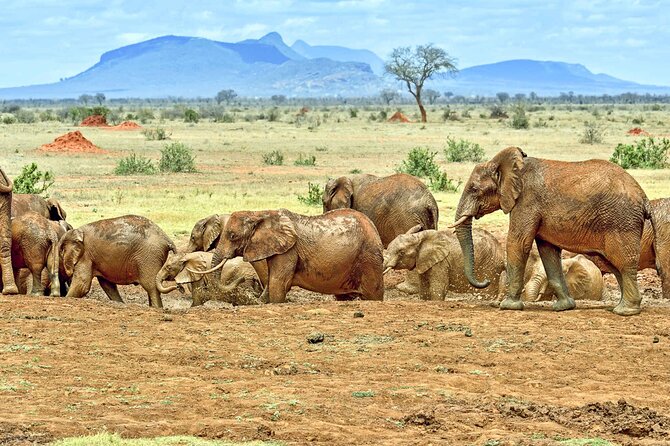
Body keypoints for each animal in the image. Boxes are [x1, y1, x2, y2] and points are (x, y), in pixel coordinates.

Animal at [193, 208, 384, 303]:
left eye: (232, 236)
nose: (245, 280)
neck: (259, 214)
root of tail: (373, 227)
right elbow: (272, 281)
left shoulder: (288, 251)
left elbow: (278, 283)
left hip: (368, 256)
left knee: (373, 293)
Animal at [452, 146, 654, 316]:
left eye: (474, 189)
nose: (485, 281)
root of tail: (644, 198)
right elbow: (548, 251)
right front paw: (563, 307)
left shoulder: (526, 201)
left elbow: (518, 243)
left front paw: (508, 307)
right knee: (614, 265)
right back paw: (619, 307)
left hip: (621, 221)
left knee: (623, 263)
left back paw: (626, 311)